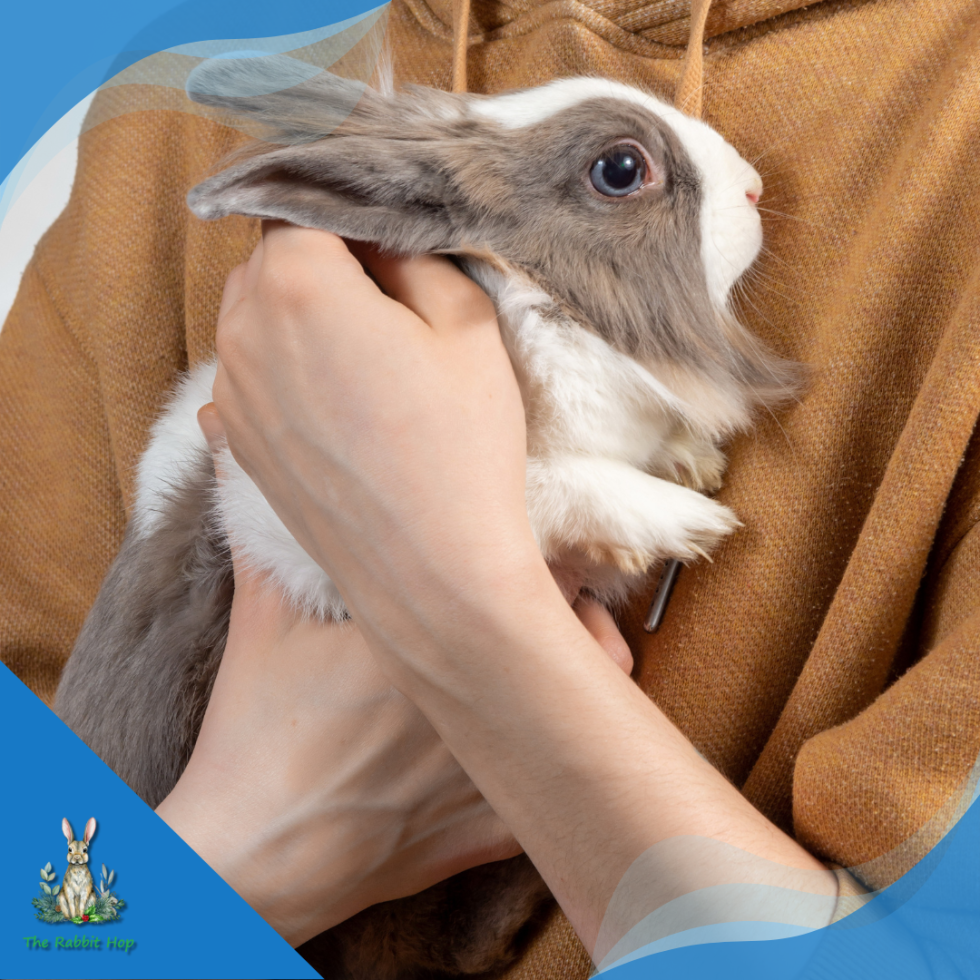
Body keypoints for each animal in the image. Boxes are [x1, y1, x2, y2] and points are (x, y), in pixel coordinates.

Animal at [55, 60, 800, 978]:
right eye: (621, 169)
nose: (755, 186)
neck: (536, 303)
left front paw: (692, 460)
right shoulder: (299, 531)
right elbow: (540, 485)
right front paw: (687, 518)